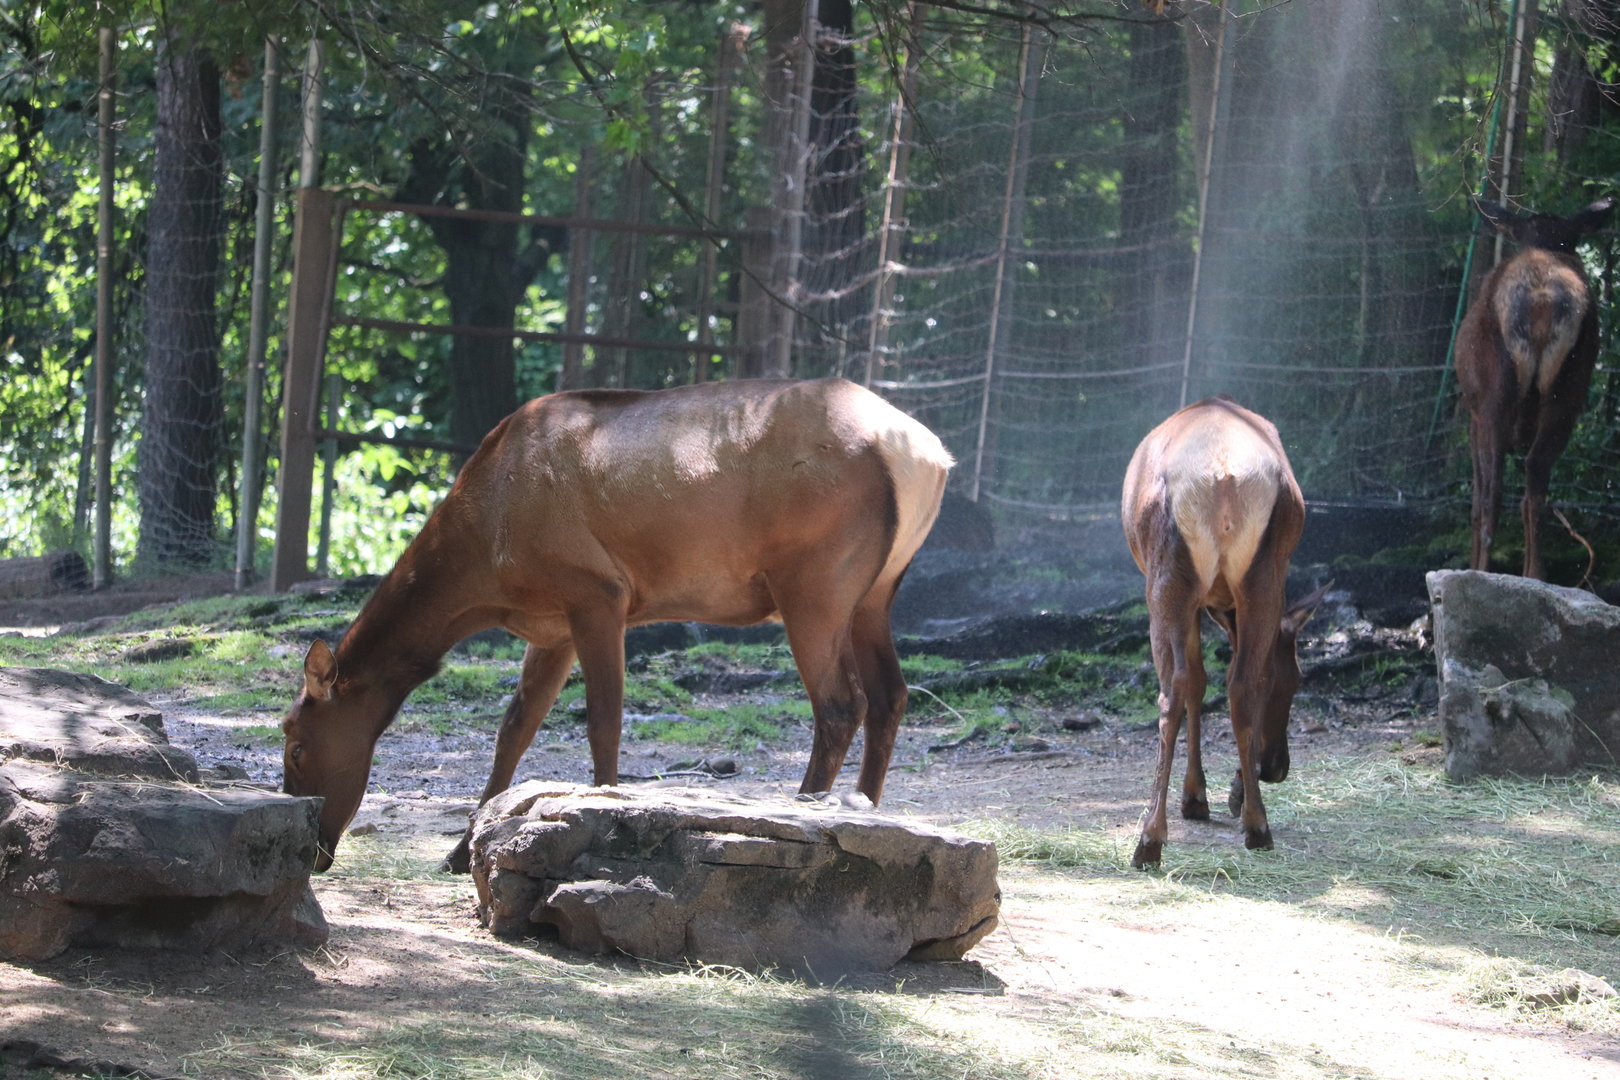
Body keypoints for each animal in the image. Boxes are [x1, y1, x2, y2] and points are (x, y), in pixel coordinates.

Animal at [280, 378, 952, 872]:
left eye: (295, 742)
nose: (313, 851)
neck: (483, 567)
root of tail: (929, 455)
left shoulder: (598, 592)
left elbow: (604, 722)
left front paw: (601, 819)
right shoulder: (550, 627)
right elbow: (513, 731)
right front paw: (457, 850)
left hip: (815, 582)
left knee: (840, 702)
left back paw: (809, 810)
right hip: (876, 593)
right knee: (891, 695)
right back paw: (865, 810)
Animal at [1121, 396, 1328, 869]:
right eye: (1297, 678)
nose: (1277, 767)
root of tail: (1223, 477)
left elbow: (1197, 683)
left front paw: (1198, 795)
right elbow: (1226, 679)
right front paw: (1224, 793)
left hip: (1167, 579)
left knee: (1174, 689)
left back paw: (1152, 837)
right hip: (1260, 577)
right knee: (1242, 682)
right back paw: (1255, 822)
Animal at [1454, 195, 1614, 580]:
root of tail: (1541, 299)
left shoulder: (1473, 416)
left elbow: (1476, 502)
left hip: (1496, 392)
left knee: (1494, 494)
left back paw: (1483, 574)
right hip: (1571, 387)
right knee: (1536, 482)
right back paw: (1535, 575)